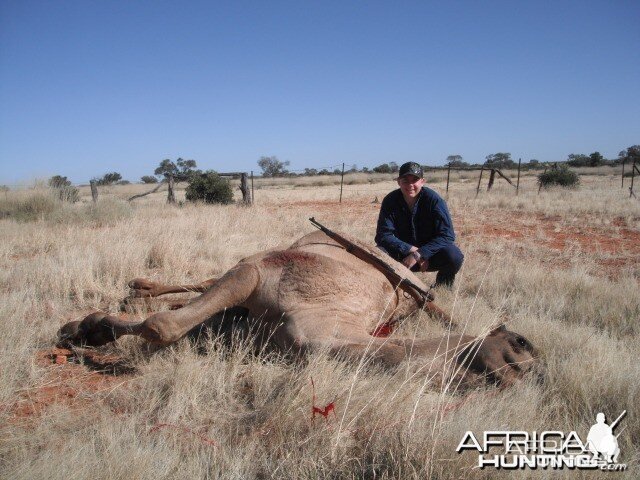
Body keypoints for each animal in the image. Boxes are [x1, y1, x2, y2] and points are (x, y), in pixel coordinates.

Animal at [58, 229, 540, 386]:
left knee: (198, 290)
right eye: (517, 348)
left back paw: (131, 295)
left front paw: (92, 331)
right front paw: (84, 329)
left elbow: (176, 324)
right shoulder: (254, 274)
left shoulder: (242, 327)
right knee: (204, 281)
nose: (532, 372)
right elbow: (163, 326)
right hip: (265, 257)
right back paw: (134, 290)